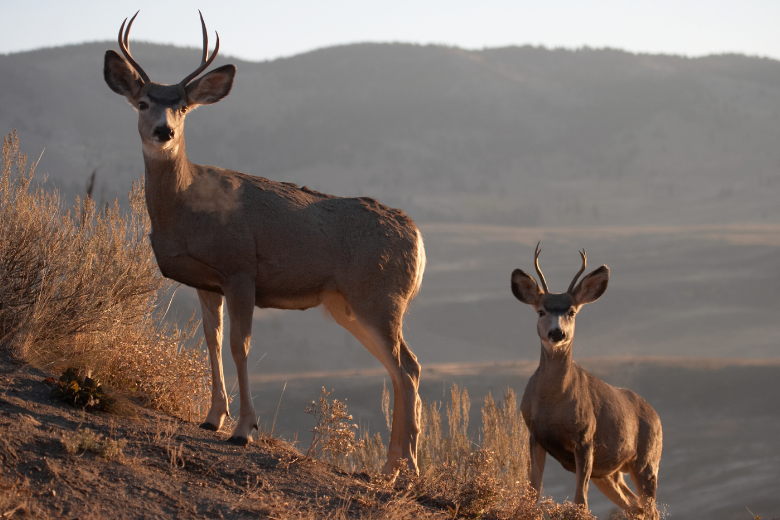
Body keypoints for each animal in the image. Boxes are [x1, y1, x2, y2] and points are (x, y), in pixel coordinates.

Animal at [103, 11, 426, 474]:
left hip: (379, 296)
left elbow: (240, 345)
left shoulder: (240, 268)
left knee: (406, 368)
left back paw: (404, 468)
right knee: (401, 367)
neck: (186, 207)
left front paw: (243, 429)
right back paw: (394, 465)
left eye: (182, 106)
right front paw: (212, 418)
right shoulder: (205, 280)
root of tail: (416, 236)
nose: (163, 131)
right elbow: (212, 340)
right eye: (144, 102)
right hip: (348, 305)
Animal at [510, 243, 662, 519]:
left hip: (646, 461)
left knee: (650, 508)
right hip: (609, 474)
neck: (553, 406)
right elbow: (533, 492)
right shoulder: (535, 434)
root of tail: (657, 417)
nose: (557, 333)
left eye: (571, 312)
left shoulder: (585, 436)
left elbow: (581, 500)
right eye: (541, 311)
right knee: (635, 506)